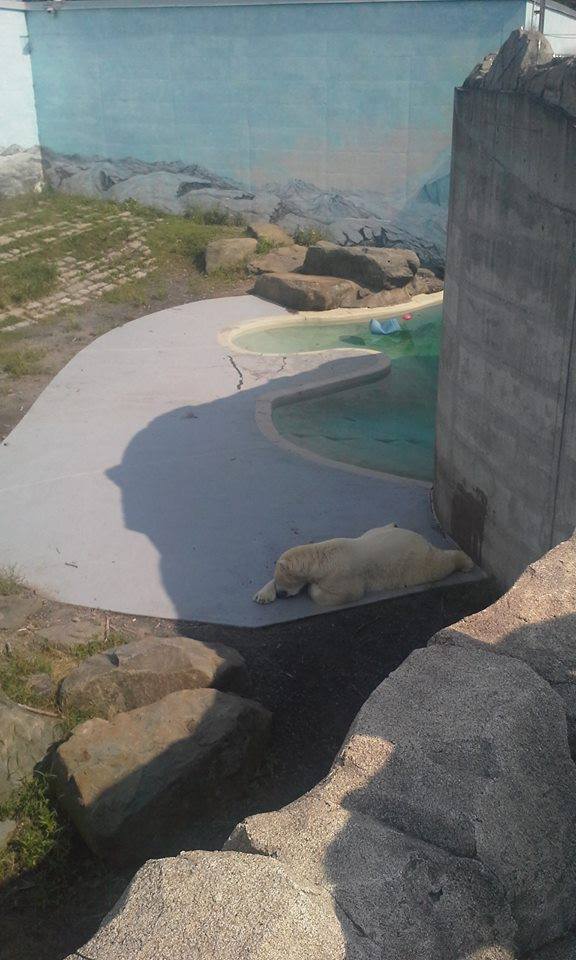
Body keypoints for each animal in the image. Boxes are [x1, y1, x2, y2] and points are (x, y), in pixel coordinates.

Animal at [254, 524, 474, 608]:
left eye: (284, 584)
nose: (281, 594)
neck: (322, 556)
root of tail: (419, 537)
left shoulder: (342, 576)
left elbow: (347, 593)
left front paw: (312, 588)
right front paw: (262, 596)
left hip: (416, 563)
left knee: (439, 565)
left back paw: (466, 562)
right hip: (377, 533)